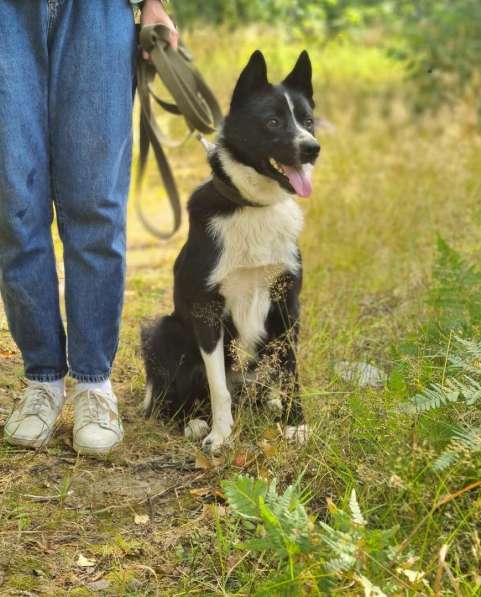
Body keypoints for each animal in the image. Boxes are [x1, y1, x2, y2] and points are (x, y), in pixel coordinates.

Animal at [142, 50, 318, 452]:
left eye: (308, 121)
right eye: (272, 122)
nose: (312, 149)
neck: (254, 207)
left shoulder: (288, 305)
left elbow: (292, 372)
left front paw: (296, 423)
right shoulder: (207, 311)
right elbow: (217, 384)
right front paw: (221, 434)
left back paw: (269, 403)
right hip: (164, 330)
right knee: (173, 396)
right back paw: (193, 421)